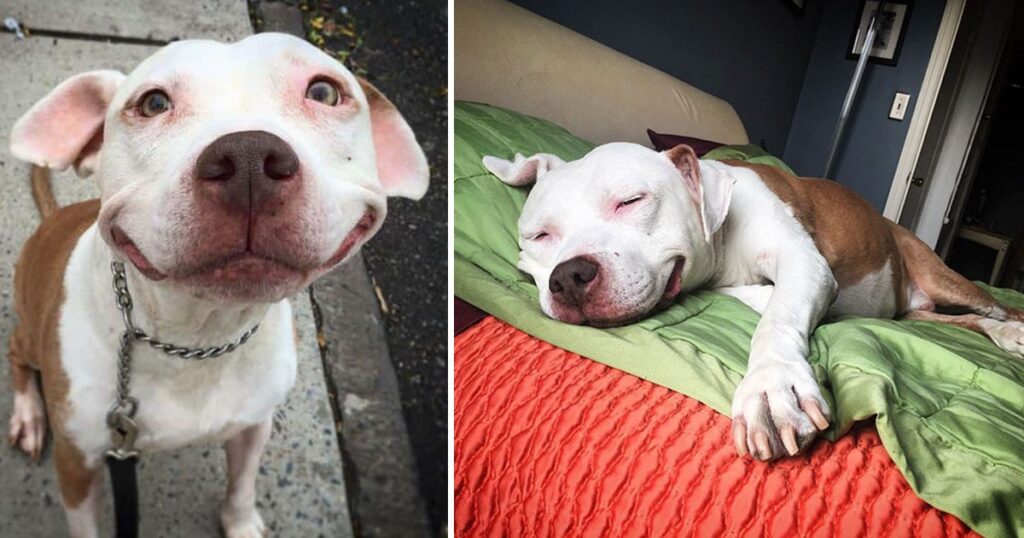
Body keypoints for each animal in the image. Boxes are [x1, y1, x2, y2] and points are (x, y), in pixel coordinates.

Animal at [4, 31, 428, 532]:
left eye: (324, 92)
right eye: (153, 103)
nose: (249, 158)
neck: (198, 336)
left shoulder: (253, 423)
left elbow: (242, 485)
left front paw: (241, 525)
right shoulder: (77, 463)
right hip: (33, 336)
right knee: (15, 350)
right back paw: (29, 415)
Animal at [483, 142, 1024, 461]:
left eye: (631, 201)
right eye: (539, 236)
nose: (569, 276)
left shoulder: (802, 261)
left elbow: (778, 319)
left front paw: (771, 388)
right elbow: (764, 299)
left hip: (945, 278)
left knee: (993, 310)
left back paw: (1012, 330)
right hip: (918, 312)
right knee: (949, 322)